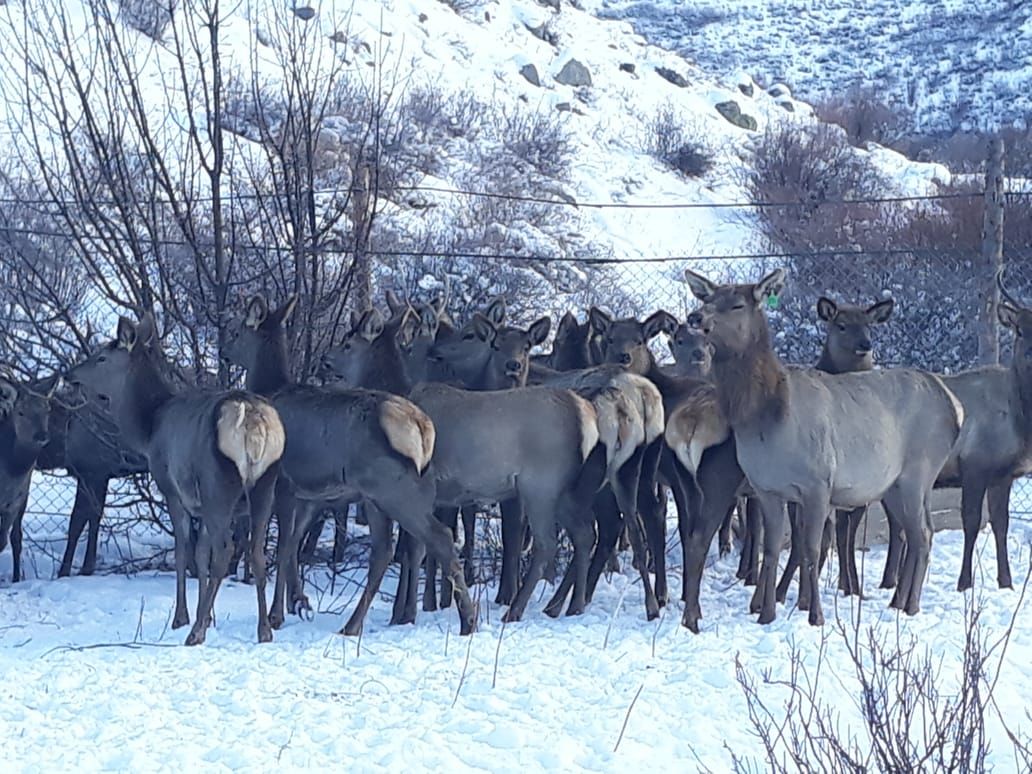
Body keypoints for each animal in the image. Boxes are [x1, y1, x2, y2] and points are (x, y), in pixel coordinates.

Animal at [66, 315, 284, 648]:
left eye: (101, 357)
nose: (70, 376)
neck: (148, 430)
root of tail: (253, 418)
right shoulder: (201, 504)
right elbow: (201, 553)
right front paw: (208, 616)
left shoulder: (172, 488)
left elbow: (184, 550)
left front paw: (183, 618)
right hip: (264, 484)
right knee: (256, 550)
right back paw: (264, 630)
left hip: (218, 481)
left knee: (226, 551)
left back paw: (196, 634)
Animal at [681, 270, 961, 627]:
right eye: (707, 298)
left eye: (737, 304)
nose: (695, 317)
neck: (769, 417)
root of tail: (954, 407)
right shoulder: (767, 489)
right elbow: (772, 549)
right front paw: (767, 614)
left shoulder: (818, 483)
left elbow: (813, 548)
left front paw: (815, 615)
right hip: (896, 484)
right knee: (917, 532)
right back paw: (899, 603)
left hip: (919, 470)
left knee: (923, 533)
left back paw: (910, 607)